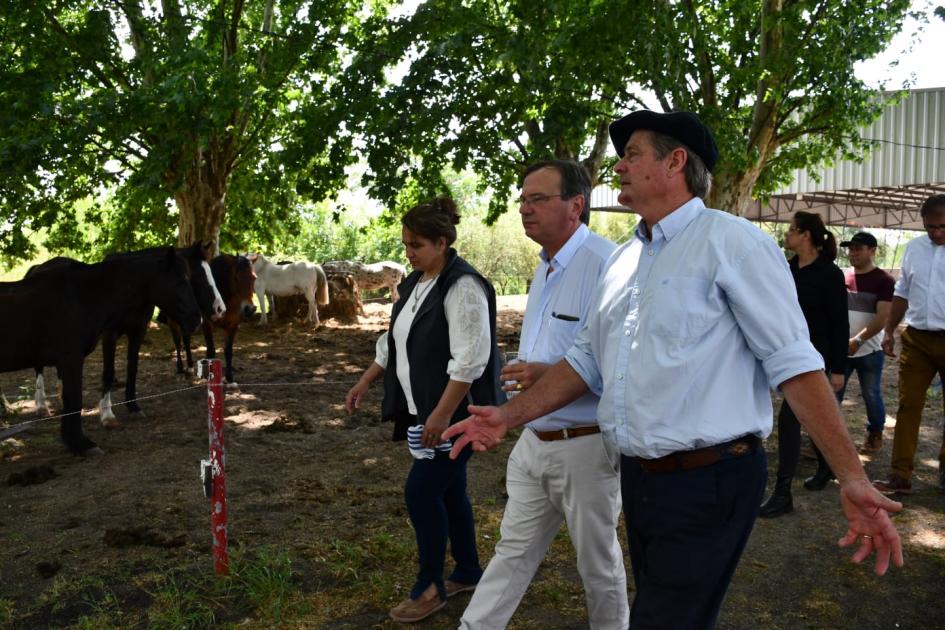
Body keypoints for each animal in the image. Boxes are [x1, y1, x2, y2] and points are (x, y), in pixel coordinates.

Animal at [0, 249, 201, 456]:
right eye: (179, 283)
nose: (196, 319)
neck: (82, 296)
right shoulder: (75, 357)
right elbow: (76, 398)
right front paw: (82, 442)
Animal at [162, 253, 256, 382]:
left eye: (254, 278)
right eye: (236, 278)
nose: (249, 309)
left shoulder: (233, 325)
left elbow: (228, 351)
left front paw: (229, 378)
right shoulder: (207, 324)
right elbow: (211, 351)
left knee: (186, 339)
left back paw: (190, 366)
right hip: (172, 319)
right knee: (177, 340)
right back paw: (180, 368)